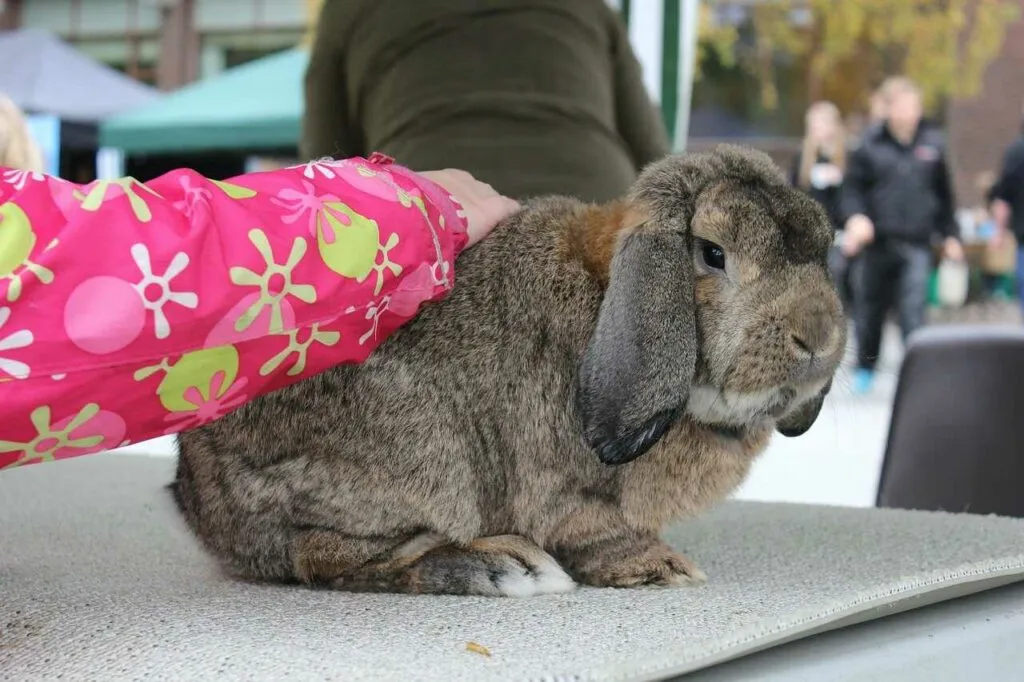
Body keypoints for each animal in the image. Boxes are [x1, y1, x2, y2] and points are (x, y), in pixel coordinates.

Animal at [174, 143, 847, 593]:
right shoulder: (572, 495)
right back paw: (502, 565)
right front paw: (660, 567)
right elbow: (600, 535)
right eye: (712, 255)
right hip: (425, 459)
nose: (819, 338)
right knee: (322, 557)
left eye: (824, 245)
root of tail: (202, 505)